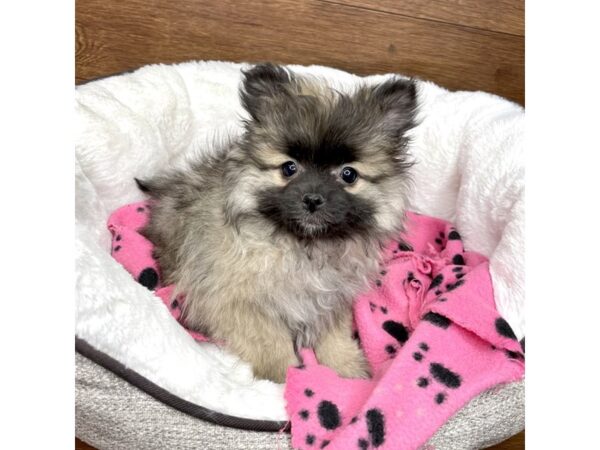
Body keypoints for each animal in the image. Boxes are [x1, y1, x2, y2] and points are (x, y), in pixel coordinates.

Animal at [137, 61, 418, 382]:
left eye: (349, 174)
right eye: (289, 168)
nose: (312, 199)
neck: (302, 246)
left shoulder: (329, 301)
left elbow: (335, 337)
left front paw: (348, 371)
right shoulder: (238, 303)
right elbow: (271, 343)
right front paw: (288, 377)